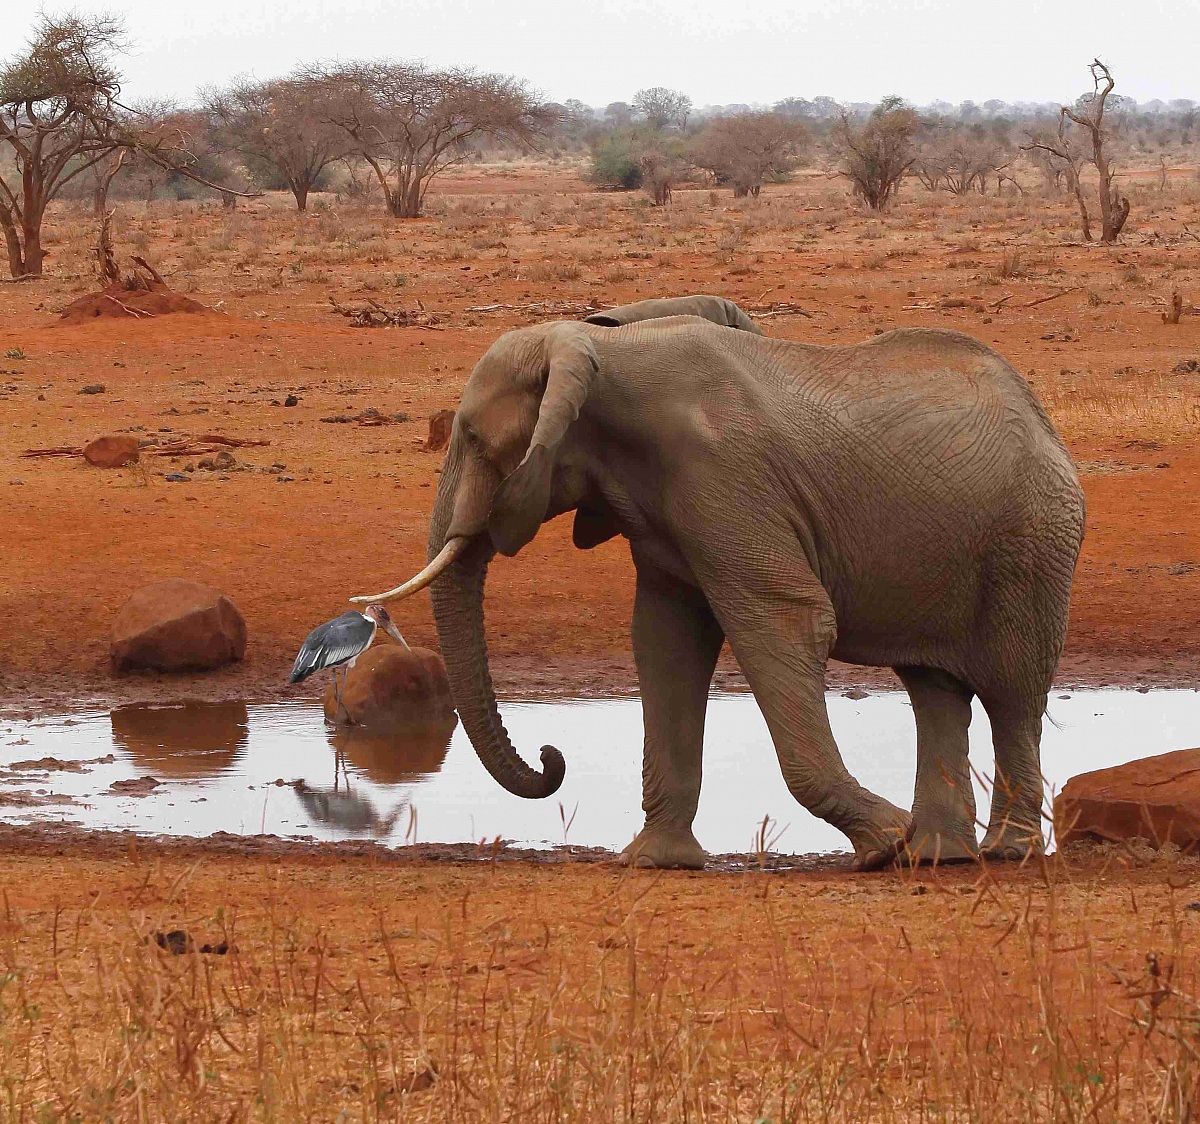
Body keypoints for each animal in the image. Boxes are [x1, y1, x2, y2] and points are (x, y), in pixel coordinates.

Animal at [355, 297, 1085, 870]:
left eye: (476, 440)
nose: (551, 756)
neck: (599, 350)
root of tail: (1041, 415)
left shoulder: (726, 479)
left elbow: (786, 621)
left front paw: (882, 845)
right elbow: (666, 642)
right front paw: (654, 862)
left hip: (1033, 539)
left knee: (1012, 692)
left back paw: (998, 852)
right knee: (934, 688)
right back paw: (938, 855)